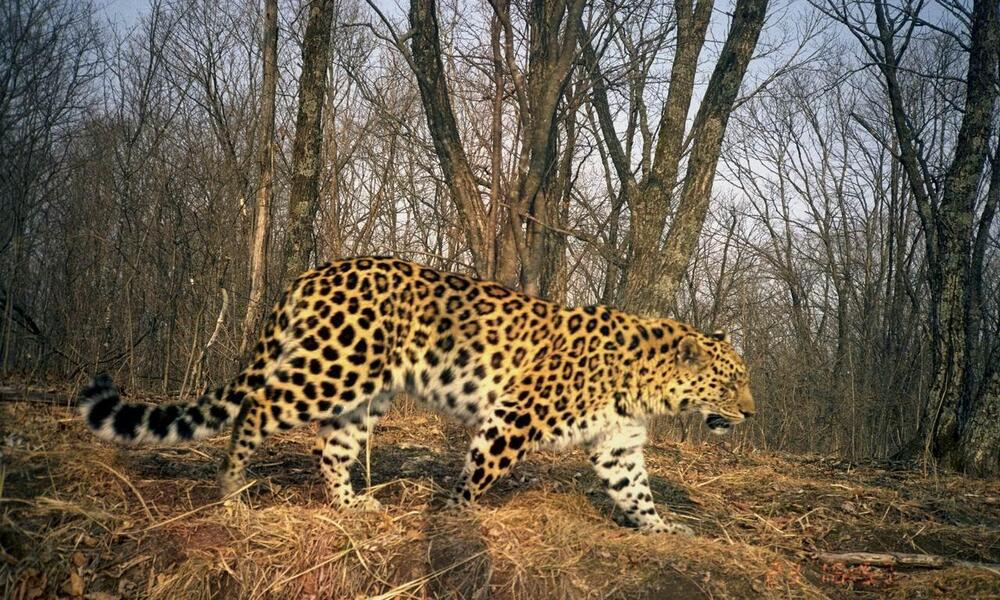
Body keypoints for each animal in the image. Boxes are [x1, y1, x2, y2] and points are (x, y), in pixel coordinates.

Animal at [78, 258, 752, 536]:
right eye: (729, 381)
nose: (749, 411)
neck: (647, 386)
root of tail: (311, 272)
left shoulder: (618, 444)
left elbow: (635, 491)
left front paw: (664, 530)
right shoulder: (514, 415)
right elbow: (478, 474)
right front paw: (452, 517)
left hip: (362, 394)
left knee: (331, 450)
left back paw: (352, 506)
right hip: (332, 370)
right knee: (256, 408)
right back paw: (232, 495)